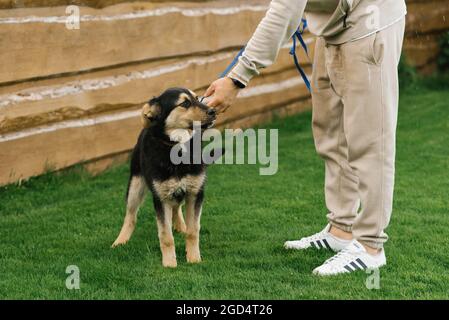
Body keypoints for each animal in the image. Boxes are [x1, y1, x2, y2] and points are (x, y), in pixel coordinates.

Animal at [112, 87, 217, 268]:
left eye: (197, 98)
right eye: (185, 103)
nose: (213, 111)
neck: (177, 147)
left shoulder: (195, 193)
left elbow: (193, 231)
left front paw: (193, 258)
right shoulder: (161, 198)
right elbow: (166, 236)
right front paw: (169, 263)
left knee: (177, 207)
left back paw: (181, 225)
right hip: (135, 185)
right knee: (130, 216)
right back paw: (121, 240)